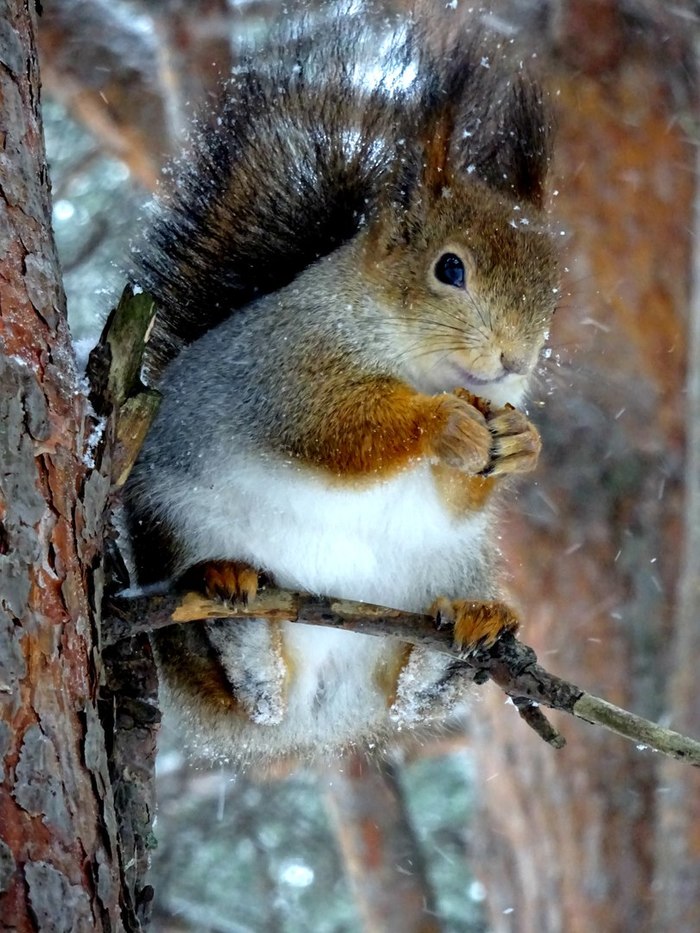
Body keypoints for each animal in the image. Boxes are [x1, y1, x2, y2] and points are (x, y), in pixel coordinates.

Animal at [124, 9, 556, 764]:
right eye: (449, 269)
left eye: (551, 286)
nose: (514, 361)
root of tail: (313, 718)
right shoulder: (285, 370)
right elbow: (336, 428)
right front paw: (444, 424)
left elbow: (458, 495)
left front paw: (520, 442)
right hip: (171, 527)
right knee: (218, 673)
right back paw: (229, 617)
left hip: (448, 574)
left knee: (409, 693)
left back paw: (463, 638)